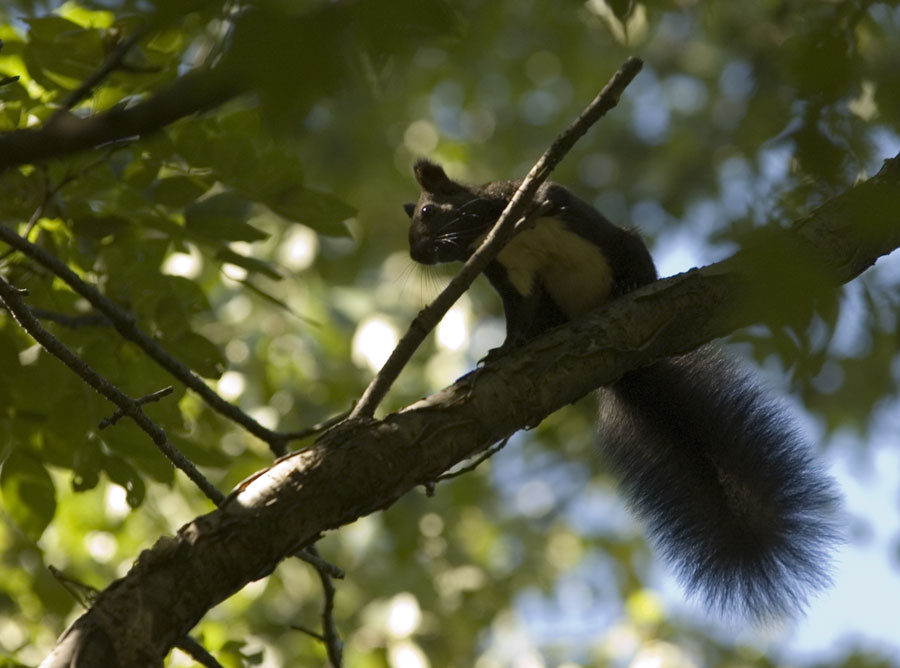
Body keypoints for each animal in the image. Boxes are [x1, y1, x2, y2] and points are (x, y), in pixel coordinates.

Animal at [403, 159, 841, 622]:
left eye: (427, 211)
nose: (417, 254)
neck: (493, 234)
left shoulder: (519, 195)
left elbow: (550, 196)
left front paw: (539, 206)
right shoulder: (513, 280)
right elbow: (519, 323)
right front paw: (503, 351)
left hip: (626, 243)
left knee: (635, 265)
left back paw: (631, 289)